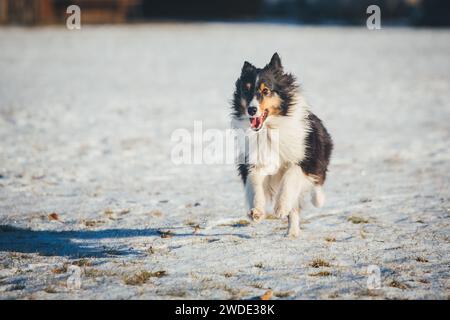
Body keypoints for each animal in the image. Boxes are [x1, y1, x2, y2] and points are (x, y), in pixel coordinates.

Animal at [230, 53, 332, 238]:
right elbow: (254, 183)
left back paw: (317, 201)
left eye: (265, 90)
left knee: (318, 182)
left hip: (319, 153)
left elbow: (290, 177)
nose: (251, 110)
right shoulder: (253, 161)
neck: (270, 128)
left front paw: (280, 207)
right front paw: (256, 212)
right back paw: (291, 232)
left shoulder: (303, 159)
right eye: (246, 90)